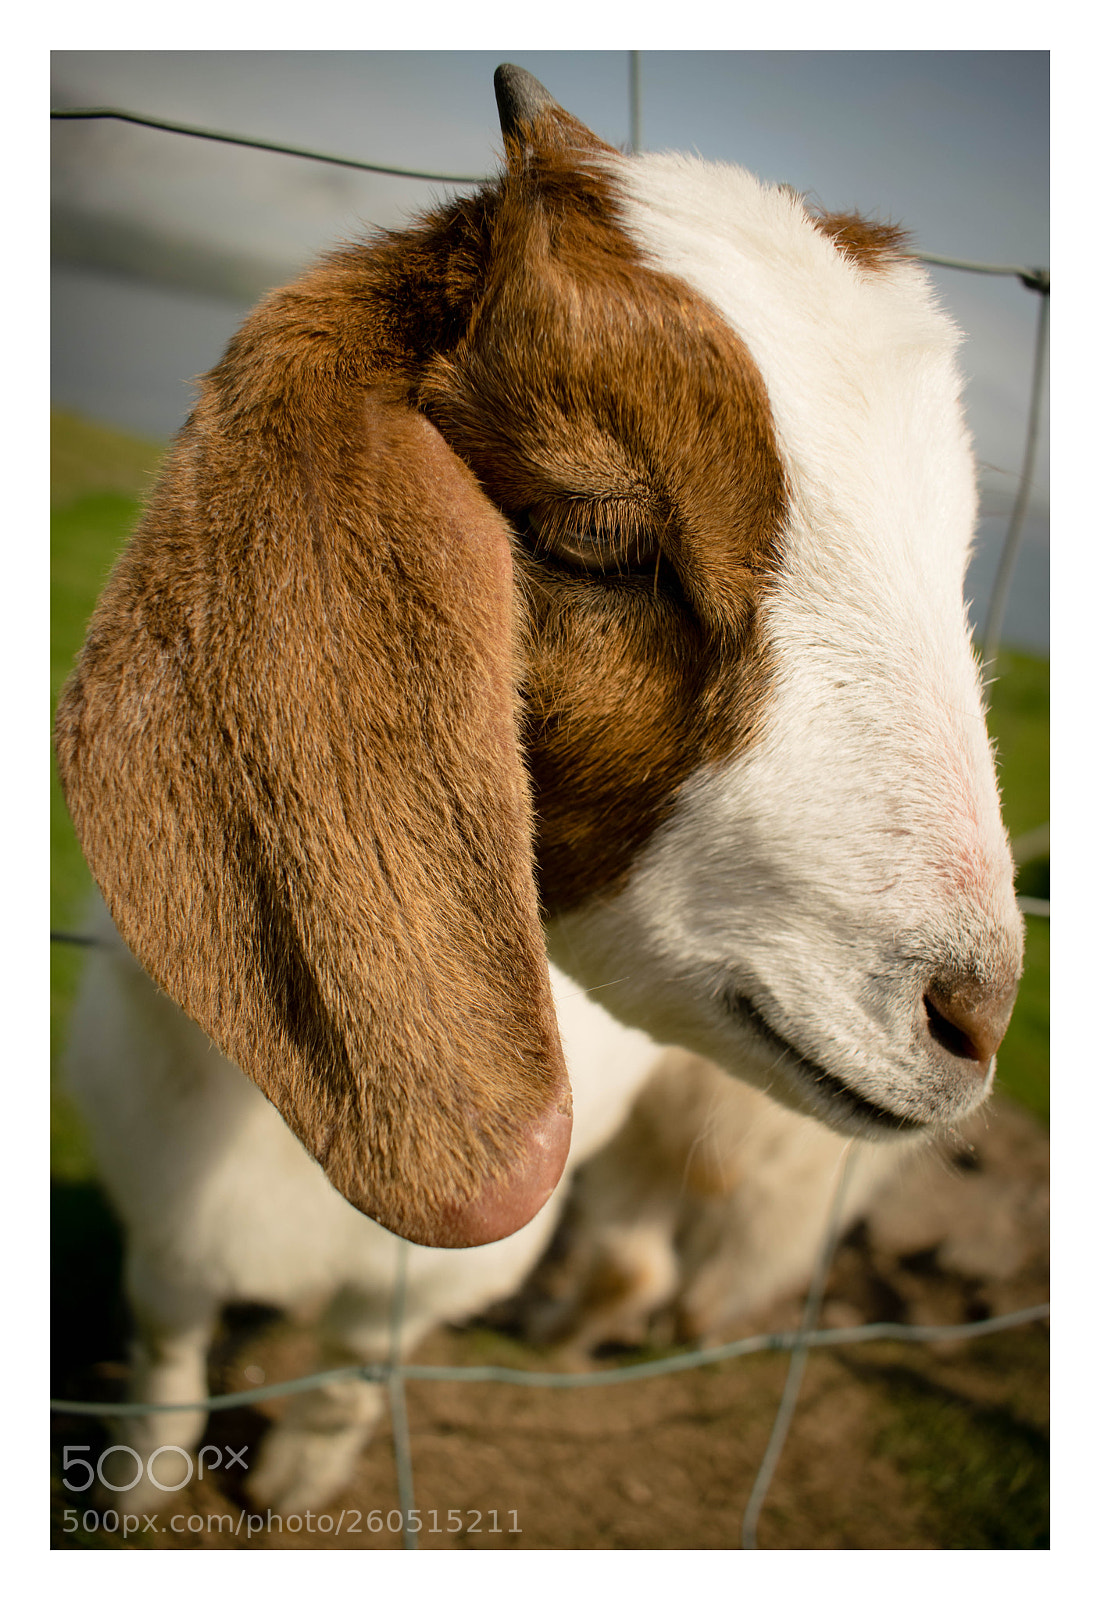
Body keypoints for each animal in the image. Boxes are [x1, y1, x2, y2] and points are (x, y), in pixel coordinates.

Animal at [54, 65, 1023, 1518]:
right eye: (597, 533)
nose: (976, 1014)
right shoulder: (150, 1138)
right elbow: (168, 1309)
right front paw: (148, 1470)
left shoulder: (439, 1250)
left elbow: (357, 1349)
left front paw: (299, 1473)